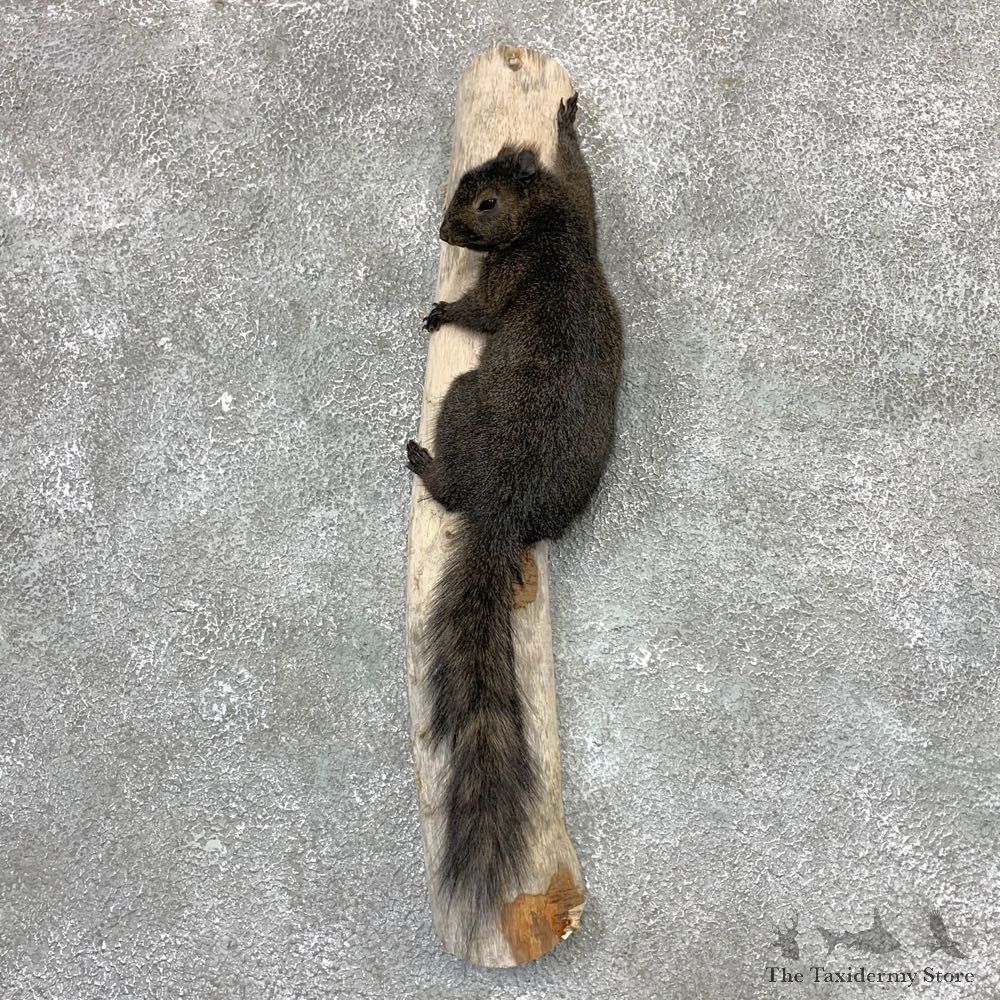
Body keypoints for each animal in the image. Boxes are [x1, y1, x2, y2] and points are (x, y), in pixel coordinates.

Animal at [406, 92, 623, 934]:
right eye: (474, 175)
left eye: (485, 203)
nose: (444, 230)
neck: (549, 227)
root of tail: (504, 511)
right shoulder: (586, 211)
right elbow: (585, 173)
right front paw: (566, 121)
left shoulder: (513, 276)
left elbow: (482, 311)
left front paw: (443, 310)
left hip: (462, 402)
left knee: (450, 484)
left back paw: (426, 464)